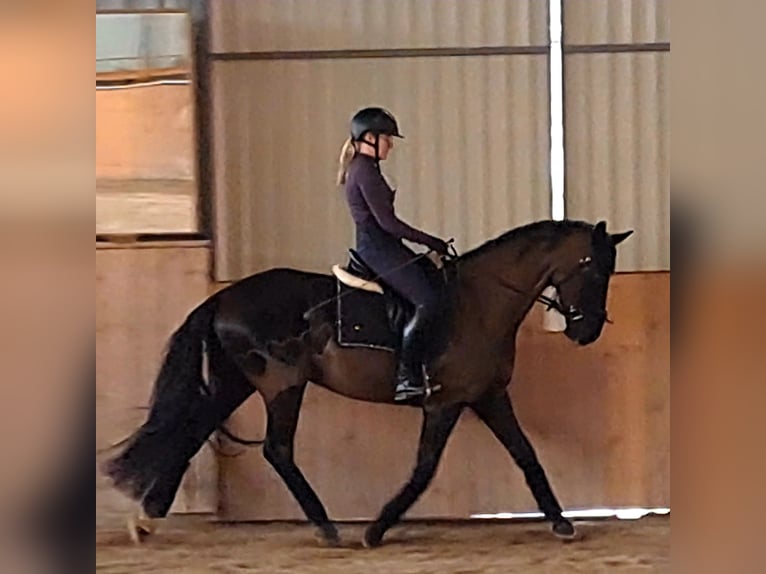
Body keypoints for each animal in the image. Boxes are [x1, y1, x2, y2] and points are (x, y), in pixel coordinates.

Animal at [102, 218, 632, 548]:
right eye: (592, 268)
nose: (586, 332)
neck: (480, 303)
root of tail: (223, 298)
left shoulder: (487, 395)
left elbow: (526, 455)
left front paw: (561, 523)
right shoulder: (445, 403)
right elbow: (424, 468)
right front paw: (376, 530)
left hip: (238, 382)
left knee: (193, 431)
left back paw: (149, 517)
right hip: (281, 384)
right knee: (276, 449)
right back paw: (326, 527)